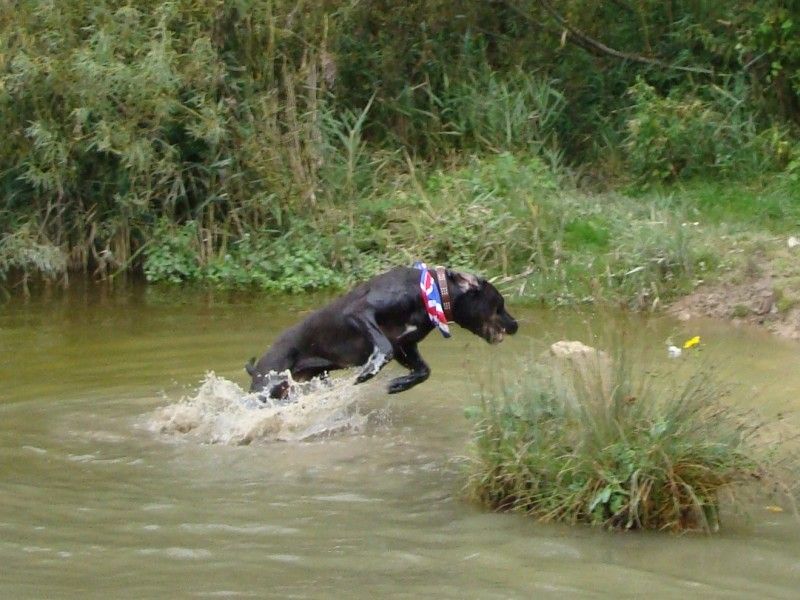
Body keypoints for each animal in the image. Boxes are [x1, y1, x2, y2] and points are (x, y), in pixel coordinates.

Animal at [245, 264, 520, 398]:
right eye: (499, 305)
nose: (516, 325)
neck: (428, 293)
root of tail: (257, 365)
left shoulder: (405, 345)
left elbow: (424, 371)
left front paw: (399, 384)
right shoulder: (359, 313)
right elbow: (383, 349)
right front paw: (368, 371)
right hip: (267, 385)